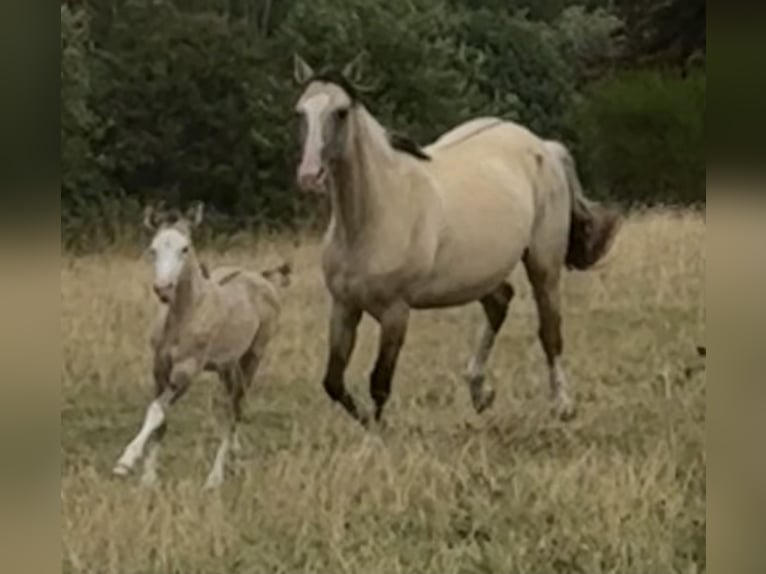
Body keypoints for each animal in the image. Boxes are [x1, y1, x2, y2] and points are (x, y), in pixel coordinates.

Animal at [292, 55, 620, 426]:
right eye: (300, 112)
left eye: (341, 112)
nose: (310, 176)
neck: (373, 214)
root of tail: (544, 147)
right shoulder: (344, 307)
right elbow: (333, 381)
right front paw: (366, 422)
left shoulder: (395, 313)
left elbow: (380, 383)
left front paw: (380, 430)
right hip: (482, 272)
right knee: (500, 301)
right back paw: (481, 392)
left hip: (544, 264)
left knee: (550, 331)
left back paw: (562, 404)